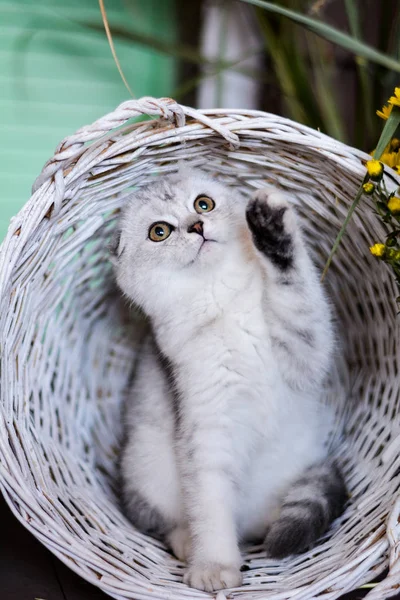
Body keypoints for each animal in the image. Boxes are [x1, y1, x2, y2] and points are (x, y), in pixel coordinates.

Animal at [113, 166, 346, 592]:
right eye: (159, 231)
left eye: (203, 203)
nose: (197, 225)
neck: (224, 303)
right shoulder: (208, 425)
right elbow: (210, 504)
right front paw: (214, 567)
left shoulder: (307, 352)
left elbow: (295, 290)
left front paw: (271, 228)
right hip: (144, 462)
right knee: (161, 522)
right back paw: (188, 543)